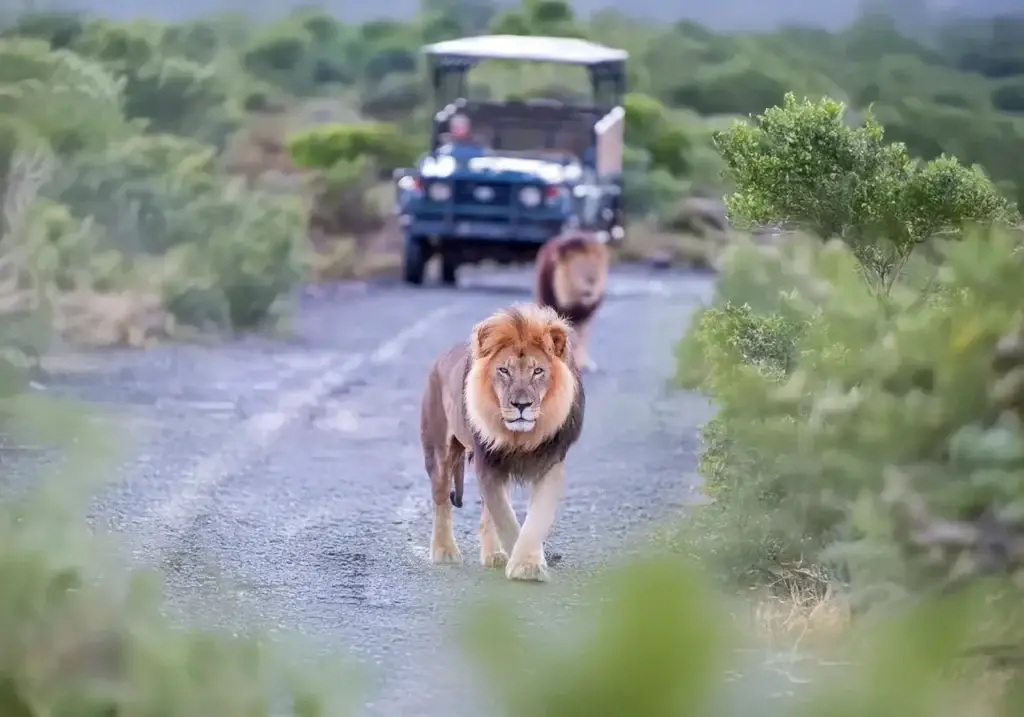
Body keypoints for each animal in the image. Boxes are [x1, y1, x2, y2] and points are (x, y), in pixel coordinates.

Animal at [419, 303, 585, 582]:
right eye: (504, 370)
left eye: (538, 371)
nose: (521, 405)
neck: (520, 437)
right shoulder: (487, 463)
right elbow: (505, 518)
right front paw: (522, 566)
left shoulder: (550, 463)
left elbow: (536, 518)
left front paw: (527, 564)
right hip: (439, 452)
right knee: (441, 501)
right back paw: (444, 551)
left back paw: (494, 555)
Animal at [533, 230, 610, 373]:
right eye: (579, 267)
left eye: (596, 266)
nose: (592, 280)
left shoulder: (584, 317)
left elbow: (580, 340)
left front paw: (582, 363)